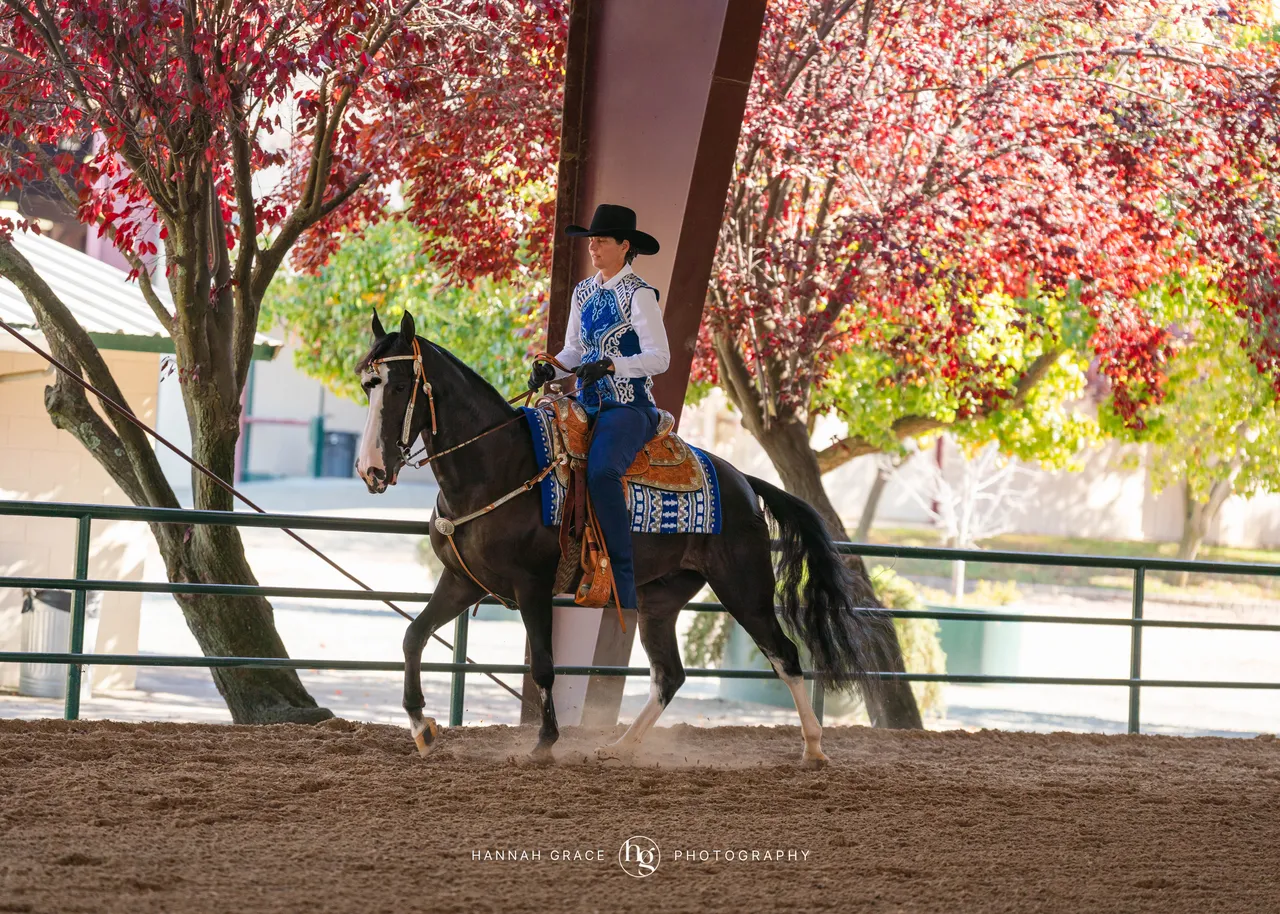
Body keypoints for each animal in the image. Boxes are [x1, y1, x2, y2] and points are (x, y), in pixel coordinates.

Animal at [355, 310, 920, 767]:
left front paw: (545, 743)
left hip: (745, 588)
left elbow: (544, 664)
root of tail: (742, 479)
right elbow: (412, 637)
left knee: (784, 654)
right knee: (669, 674)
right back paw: (621, 746)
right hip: (659, 600)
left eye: (400, 387)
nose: (371, 470)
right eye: (367, 386)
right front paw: (422, 728)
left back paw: (814, 748)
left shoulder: (532, 586)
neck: (498, 466)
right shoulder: (463, 581)